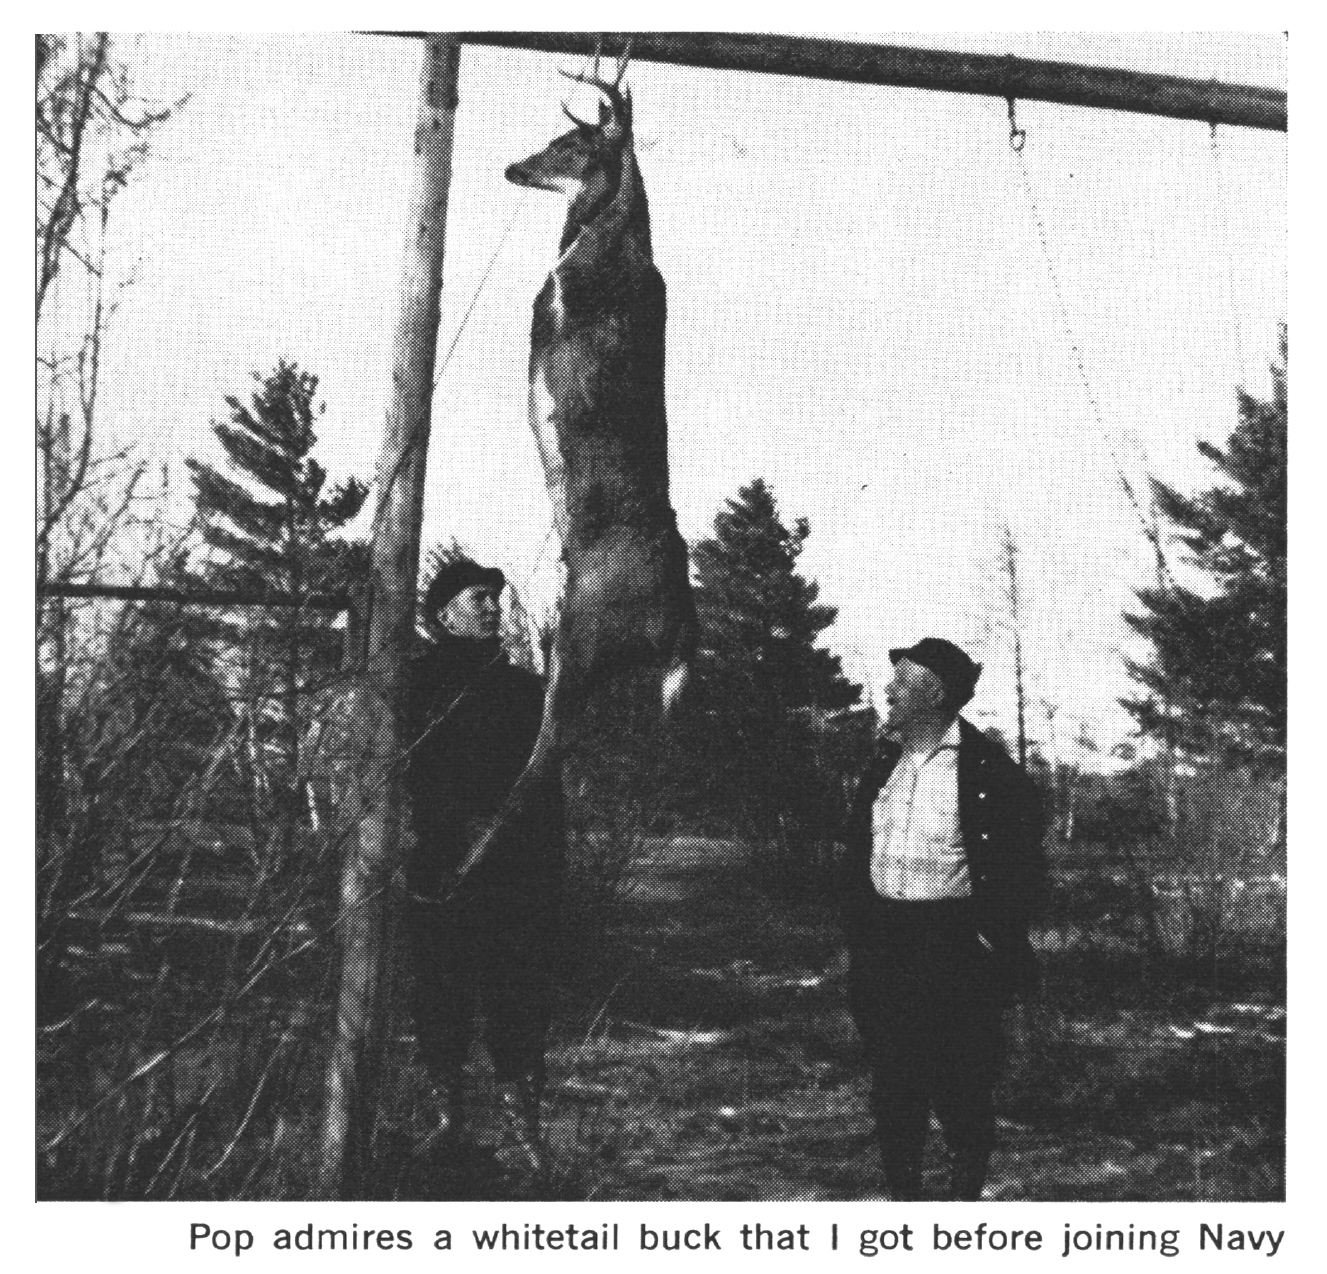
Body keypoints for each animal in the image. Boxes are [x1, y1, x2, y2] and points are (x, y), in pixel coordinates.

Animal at [448, 49, 695, 886]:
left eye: (569, 144)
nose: (511, 166)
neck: (609, 240)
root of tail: (676, 628)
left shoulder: (552, 300)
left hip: (578, 639)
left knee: (545, 759)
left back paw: (468, 862)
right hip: (637, 677)